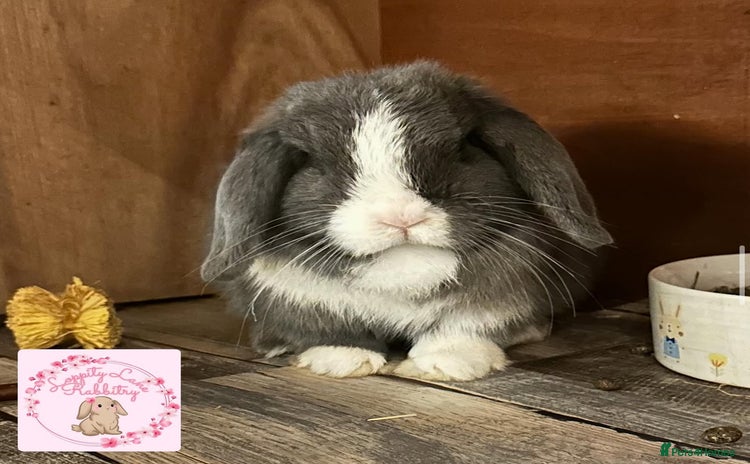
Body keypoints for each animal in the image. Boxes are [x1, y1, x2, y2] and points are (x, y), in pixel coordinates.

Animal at [201, 61, 613, 381]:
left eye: (462, 148)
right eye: (314, 163)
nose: (400, 216)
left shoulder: (496, 300)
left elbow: (463, 325)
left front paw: (448, 364)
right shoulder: (302, 302)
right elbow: (329, 329)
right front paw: (341, 360)